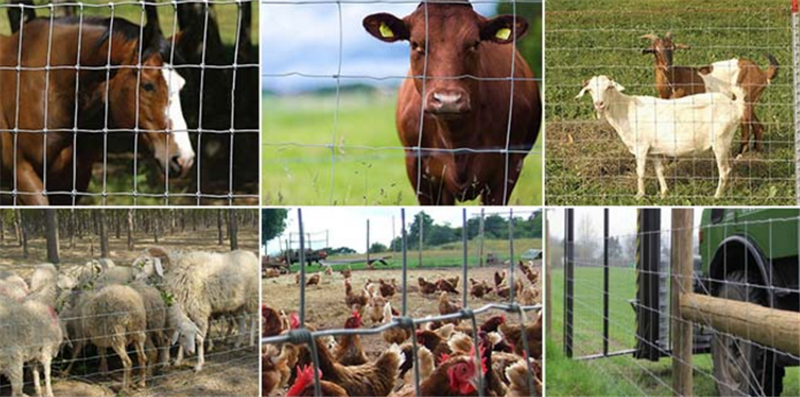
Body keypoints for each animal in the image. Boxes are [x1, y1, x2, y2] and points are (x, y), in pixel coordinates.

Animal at [580, 74, 748, 198]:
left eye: (609, 87)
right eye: (590, 90)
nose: (599, 104)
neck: (626, 110)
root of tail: (735, 106)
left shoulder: (641, 146)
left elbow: (640, 172)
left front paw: (640, 195)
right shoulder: (655, 150)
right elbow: (659, 170)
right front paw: (664, 193)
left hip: (720, 141)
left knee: (724, 170)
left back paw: (716, 196)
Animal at [644, 31, 776, 155]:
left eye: (673, 48)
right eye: (655, 50)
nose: (668, 66)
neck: (674, 80)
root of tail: (762, 73)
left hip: (746, 98)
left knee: (746, 127)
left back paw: (740, 156)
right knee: (758, 126)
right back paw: (757, 152)